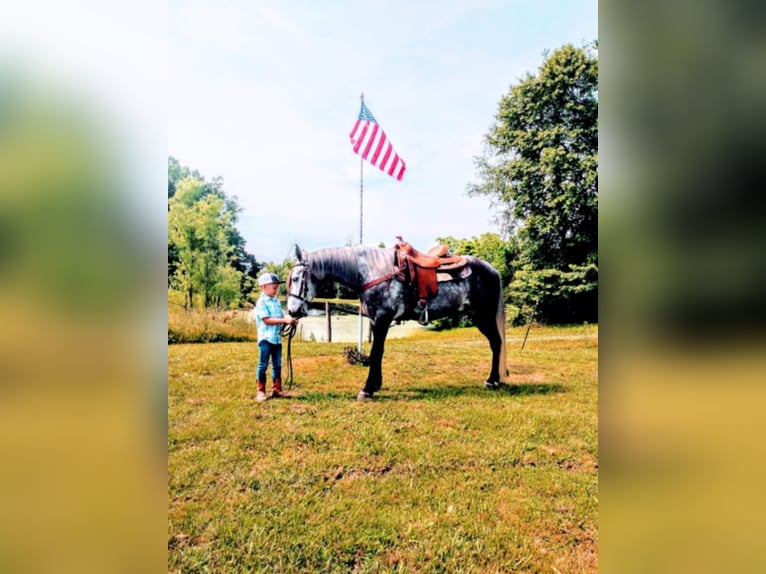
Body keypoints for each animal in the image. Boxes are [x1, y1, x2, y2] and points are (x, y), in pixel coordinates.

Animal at [286, 245, 510, 402]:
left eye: (297, 278)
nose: (292, 311)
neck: (372, 273)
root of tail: (493, 270)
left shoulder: (382, 319)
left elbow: (376, 352)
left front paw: (367, 389)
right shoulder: (377, 322)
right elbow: (378, 352)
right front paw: (375, 385)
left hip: (483, 317)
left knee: (496, 343)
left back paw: (491, 380)